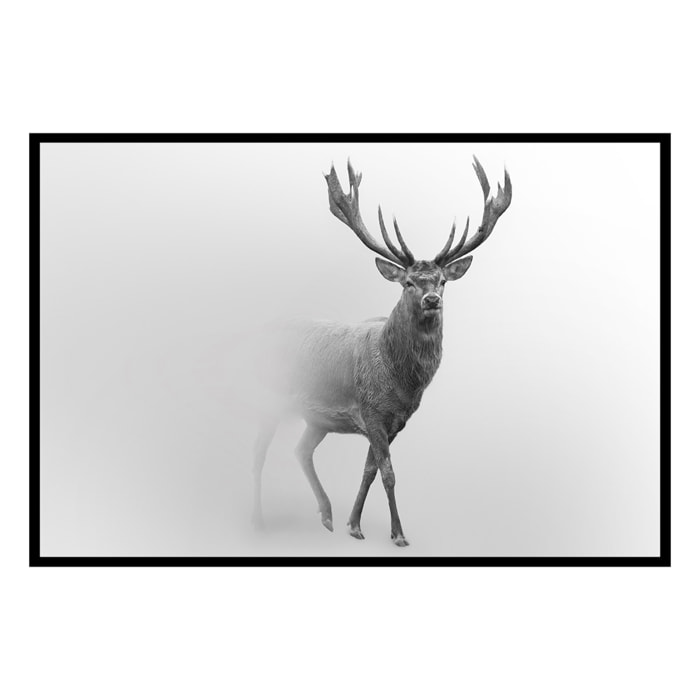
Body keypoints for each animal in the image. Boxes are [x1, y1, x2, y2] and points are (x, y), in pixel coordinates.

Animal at [251, 156, 512, 546]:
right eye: (408, 283)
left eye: (442, 281)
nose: (431, 300)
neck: (402, 381)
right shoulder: (371, 411)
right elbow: (388, 473)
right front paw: (398, 534)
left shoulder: (394, 423)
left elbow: (369, 471)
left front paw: (353, 525)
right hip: (269, 398)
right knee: (259, 451)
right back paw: (259, 521)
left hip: (317, 418)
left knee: (300, 449)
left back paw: (326, 515)